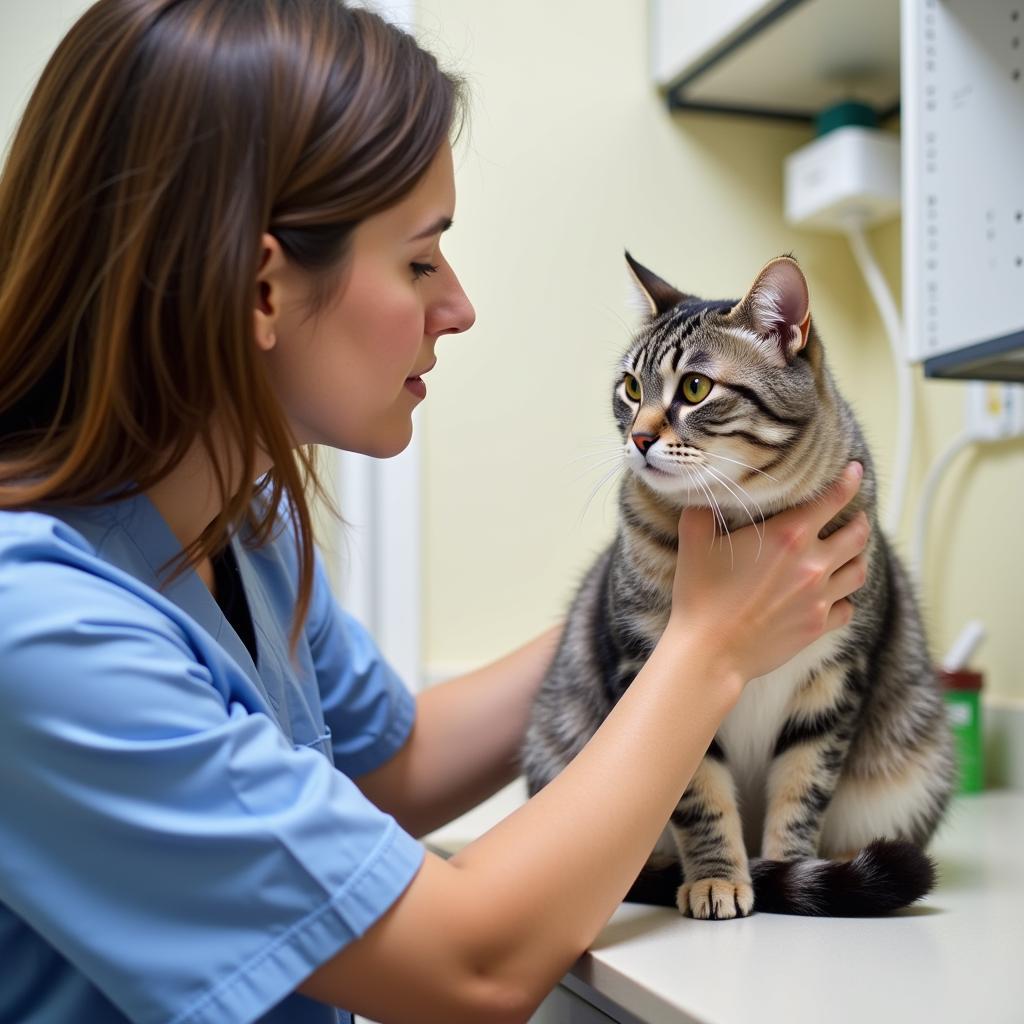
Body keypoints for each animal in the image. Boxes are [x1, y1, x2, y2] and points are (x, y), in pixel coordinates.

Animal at [524, 253, 954, 921]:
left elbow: (804, 788)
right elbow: (699, 796)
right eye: (631, 388)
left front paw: (789, 870)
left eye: (695, 388)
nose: (638, 439)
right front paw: (717, 879)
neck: (744, 522)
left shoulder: (835, 678)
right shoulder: (648, 664)